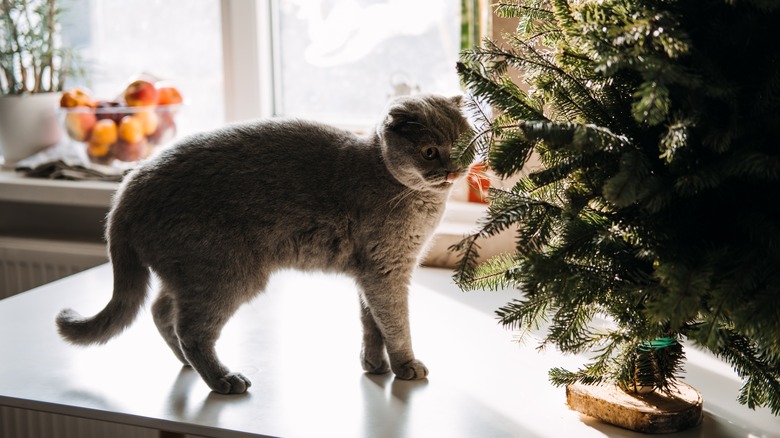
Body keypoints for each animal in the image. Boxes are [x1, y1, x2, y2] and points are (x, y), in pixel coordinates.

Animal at [56, 93, 470, 394]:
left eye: (463, 145)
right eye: (430, 151)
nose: (453, 169)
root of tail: (128, 187)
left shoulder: (369, 273)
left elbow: (373, 323)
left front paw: (375, 365)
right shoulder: (387, 270)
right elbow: (396, 323)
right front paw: (406, 365)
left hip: (186, 271)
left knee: (162, 312)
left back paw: (189, 365)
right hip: (228, 272)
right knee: (190, 330)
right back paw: (223, 380)